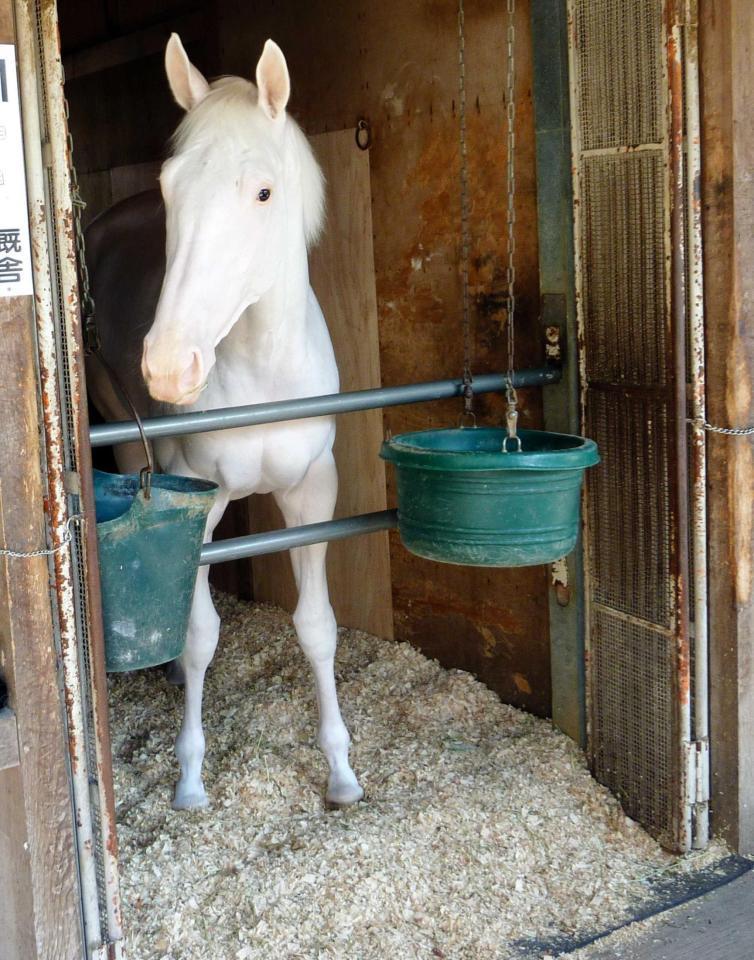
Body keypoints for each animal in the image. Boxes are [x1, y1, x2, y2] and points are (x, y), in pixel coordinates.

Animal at [85, 33, 362, 808]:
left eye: (263, 192)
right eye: (170, 187)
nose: (168, 365)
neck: (264, 376)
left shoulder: (313, 495)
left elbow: (317, 627)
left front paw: (341, 771)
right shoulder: (196, 508)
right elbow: (201, 634)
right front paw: (189, 777)